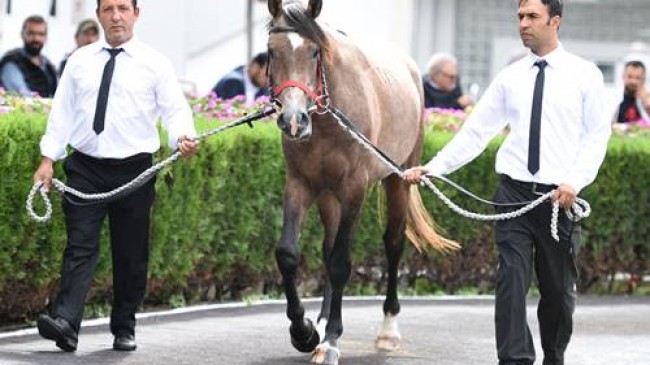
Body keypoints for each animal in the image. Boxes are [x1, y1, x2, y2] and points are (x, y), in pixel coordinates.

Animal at [264, 0, 456, 362]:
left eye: (314, 52)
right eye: (271, 51)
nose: (294, 121)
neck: (329, 122)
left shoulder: (354, 189)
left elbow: (341, 263)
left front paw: (330, 341)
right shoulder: (300, 184)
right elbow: (288, 255)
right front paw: (304, 331)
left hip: (399, 177)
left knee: (393, 244)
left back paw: (388, 329)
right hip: (329, 194)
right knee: (328, 246)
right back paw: (322, 320)